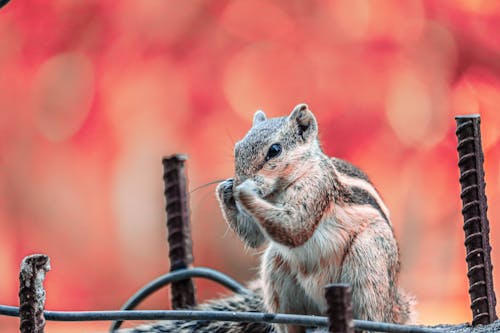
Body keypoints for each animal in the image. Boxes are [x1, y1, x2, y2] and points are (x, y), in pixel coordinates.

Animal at [124, 104, 414, 332]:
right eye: (237, 149)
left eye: (274, 150)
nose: (237, 181)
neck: (276, 192)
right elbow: (255, 238)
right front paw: (225, 190)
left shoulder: (317, 189)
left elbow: (295, 227)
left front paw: (244, 191)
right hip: (276, 271)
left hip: (368, 259)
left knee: (371, 313)